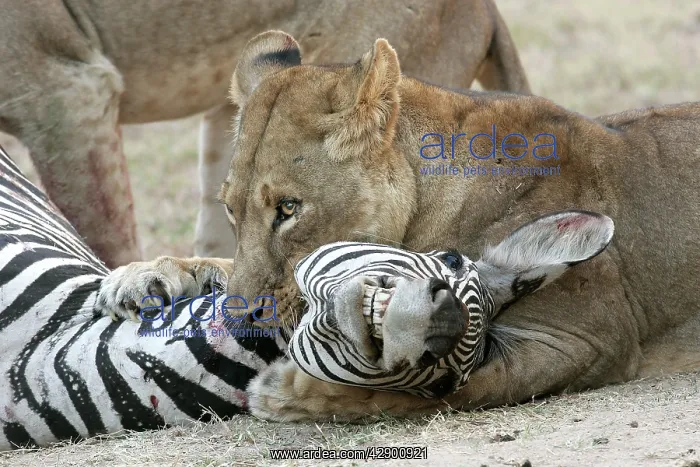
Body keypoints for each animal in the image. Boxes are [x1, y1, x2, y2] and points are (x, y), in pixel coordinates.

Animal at [97, 31, 700, 421]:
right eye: (230, 209)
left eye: (289, 209)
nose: (242, 326)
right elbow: (224, 264)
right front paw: (143, 275)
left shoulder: (588, 339)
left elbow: (462, 386)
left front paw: (288, 393)